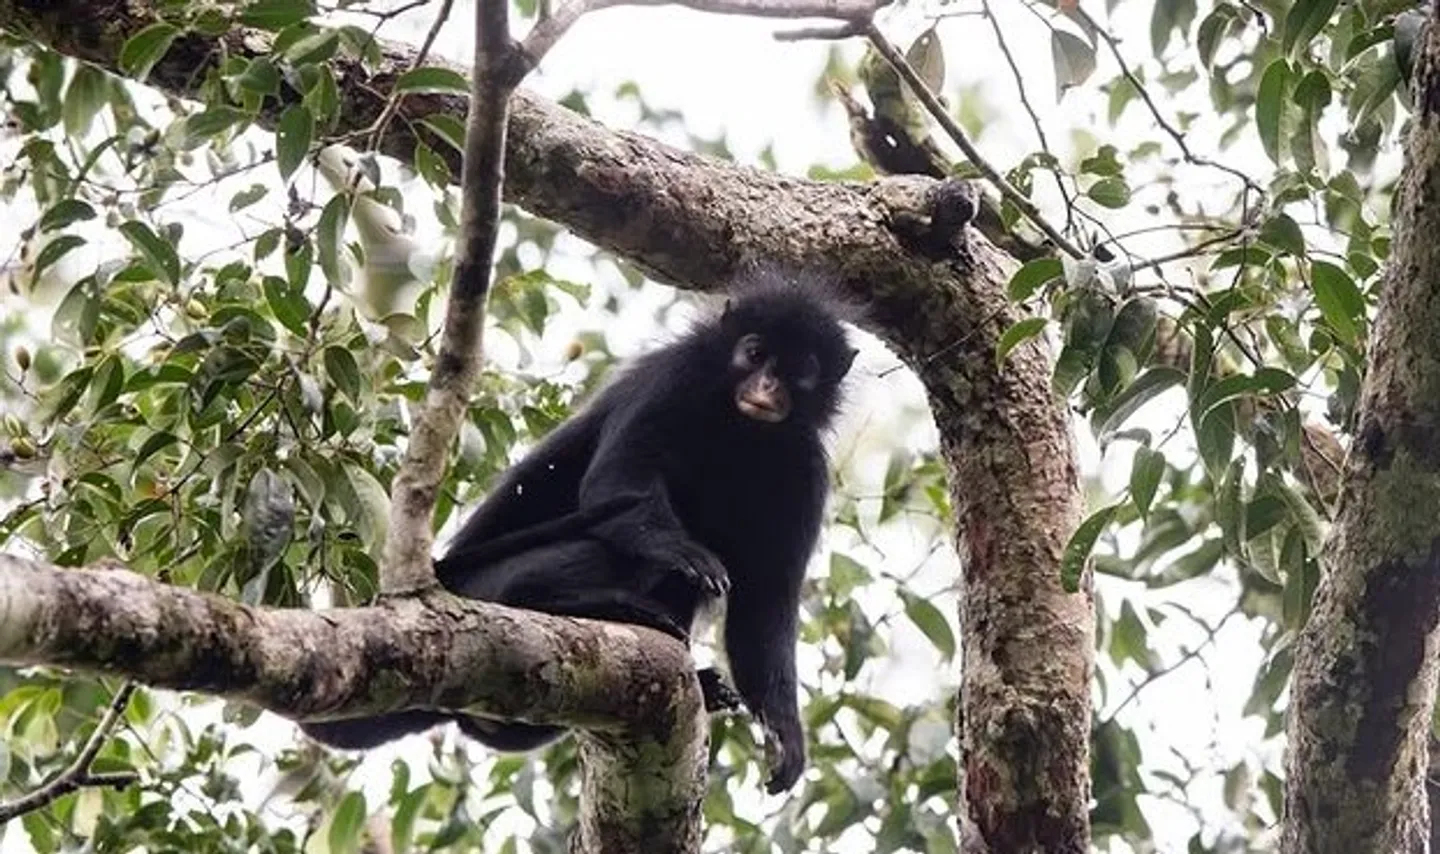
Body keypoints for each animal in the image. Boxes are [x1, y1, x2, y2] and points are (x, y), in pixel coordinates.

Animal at [300, 273, 858, 794]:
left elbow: (764, 605)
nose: (767, 389)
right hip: (487, 585)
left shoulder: (806, 470)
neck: (740, 428)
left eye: (800, 371)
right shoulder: (671, 378)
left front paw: (785, 736)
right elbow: (619, 484)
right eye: (755, 353)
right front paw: (680, 550)